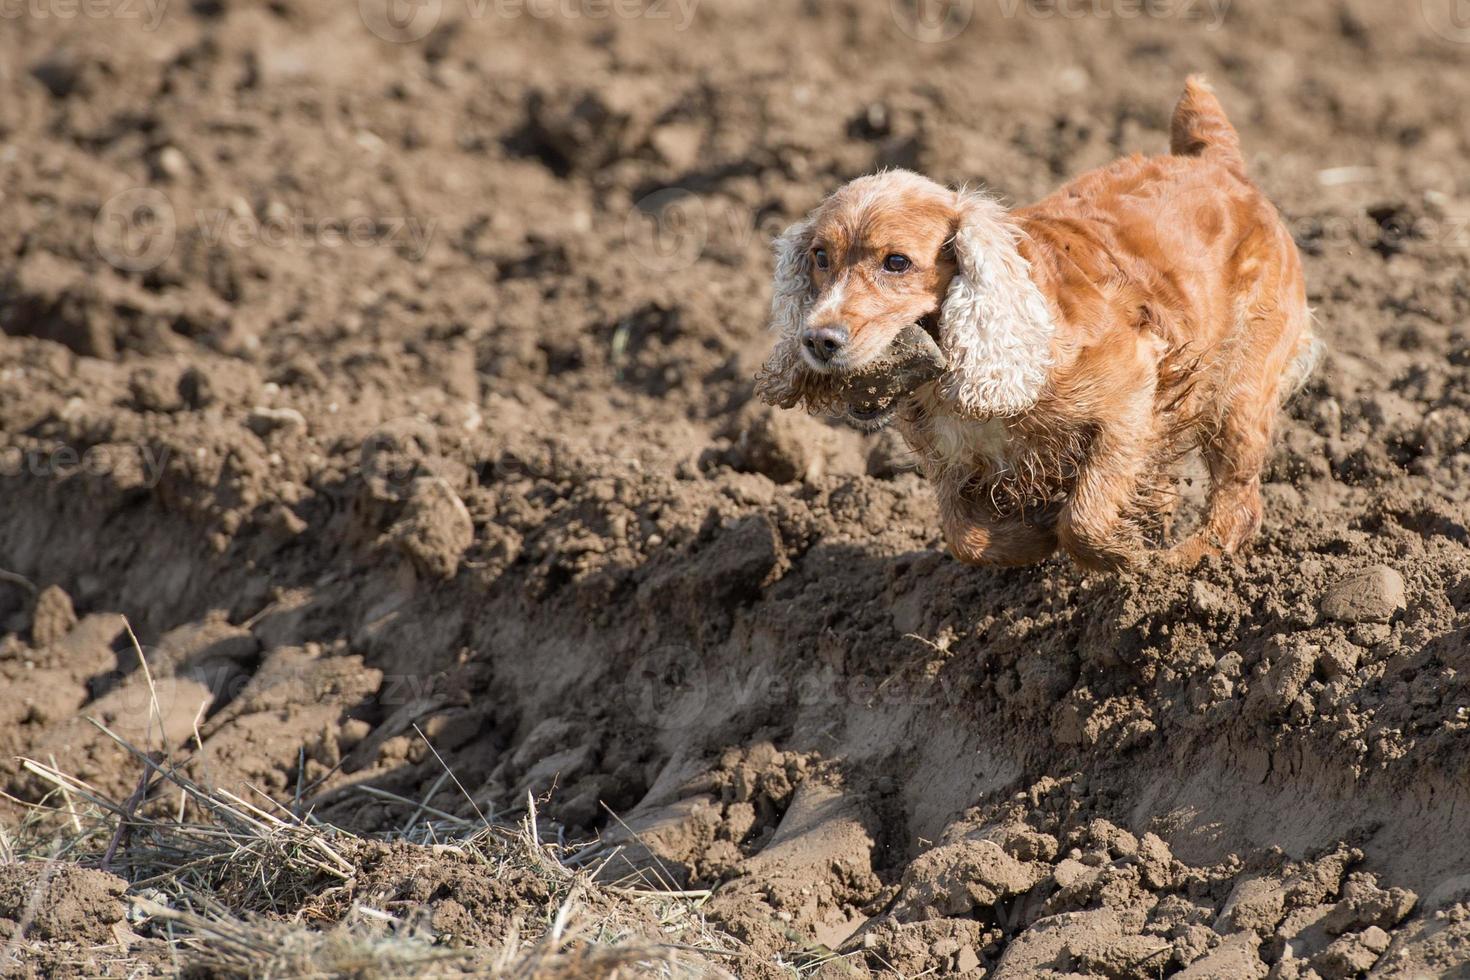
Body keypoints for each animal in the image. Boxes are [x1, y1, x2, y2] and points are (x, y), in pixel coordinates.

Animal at [758, 76, 1323, 570]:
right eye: (819, 257)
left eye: (896, 262)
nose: (818, 340)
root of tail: (1218, 163)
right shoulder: (949, 461)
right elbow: (963, 535)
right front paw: (1030, 537)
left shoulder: (1131, 394)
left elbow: (1084, 516)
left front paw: (1123, 556)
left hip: (1240, 389)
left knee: (1238, 501)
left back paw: (1182, 566)